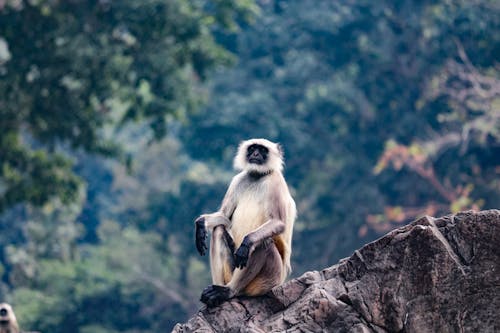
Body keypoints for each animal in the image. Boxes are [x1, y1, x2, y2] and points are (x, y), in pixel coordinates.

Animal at [194, 137, 296, 306]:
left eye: (262, 150)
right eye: (253, 148)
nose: (255, 154)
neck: (257, 176)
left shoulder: (276, 181)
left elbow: (278, 223)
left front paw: (246, 243)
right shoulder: (238, 180)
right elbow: (224, 216)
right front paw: (201, 224)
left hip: (268, 280)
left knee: (262, 243)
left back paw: (230, 291)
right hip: (232, 271)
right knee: (219, 230)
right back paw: (217, 291)